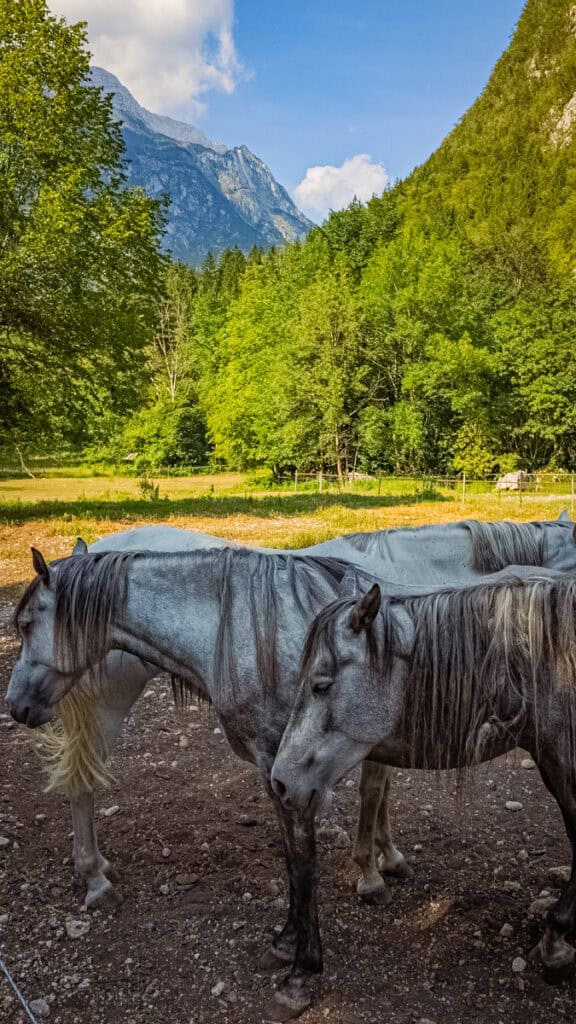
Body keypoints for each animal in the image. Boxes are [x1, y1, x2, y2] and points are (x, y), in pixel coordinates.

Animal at [35, 516, 576, 909]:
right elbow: (372, 793)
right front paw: (371, 873)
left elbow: (380, 791)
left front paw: (389, 856)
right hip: (105, 706)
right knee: (81, 784)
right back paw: (95, 878)